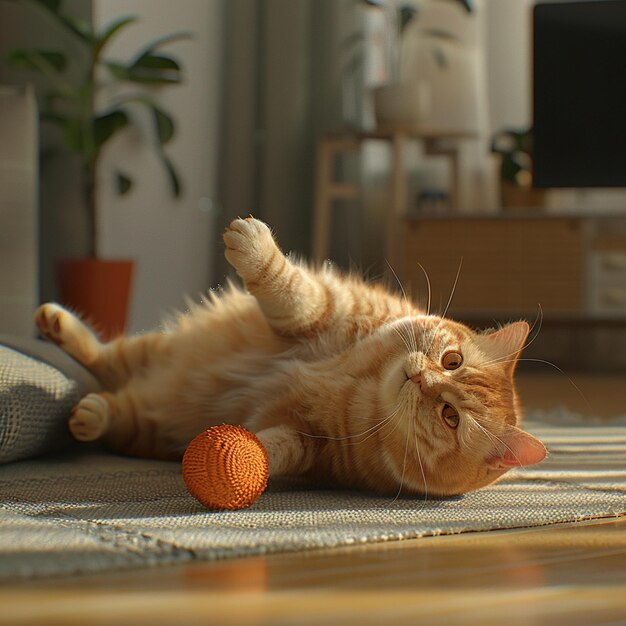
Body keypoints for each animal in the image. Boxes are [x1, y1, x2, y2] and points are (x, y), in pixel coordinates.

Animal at [34, 217, 544, 494]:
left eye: (449, 416)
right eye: (452, 361)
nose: (421, 379)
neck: (362, 386)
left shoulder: (308, 443)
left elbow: (266, 448)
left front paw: (233, 462)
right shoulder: (327, 311)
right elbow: (294, 290)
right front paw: (255, 248)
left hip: (145, 423)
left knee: (112, 398)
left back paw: (90, 413)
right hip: (152, 350)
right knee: (104, 358)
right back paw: (55, 324)